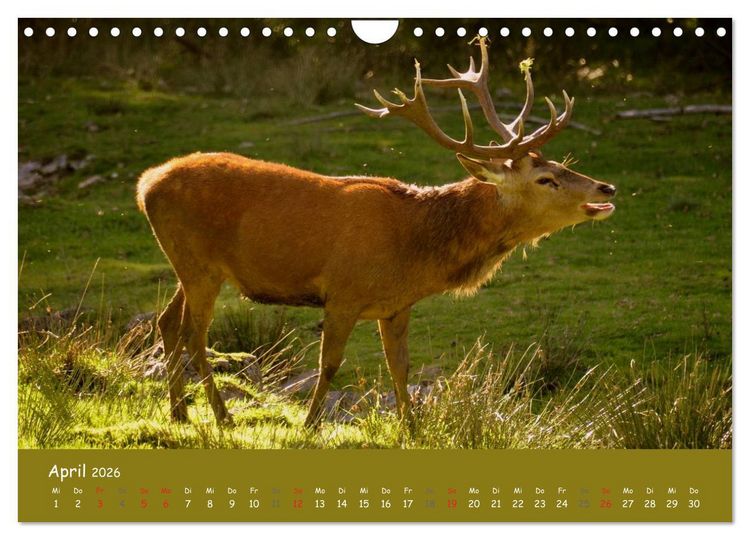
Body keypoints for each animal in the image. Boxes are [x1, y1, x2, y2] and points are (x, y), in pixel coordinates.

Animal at [136, 36, 616, 428]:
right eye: (546, 179)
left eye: (562, 164)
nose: (606, 188)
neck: (416, 248)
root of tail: (145, 184)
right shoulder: (343, 292)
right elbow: (331, 362)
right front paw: (310, 423)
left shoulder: (396, 304)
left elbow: (399, 366)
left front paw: (412, 428)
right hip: (197, 262)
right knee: (195, 335)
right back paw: (222, 416)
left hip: (191, 264)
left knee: (167, 323)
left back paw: (179, 412)